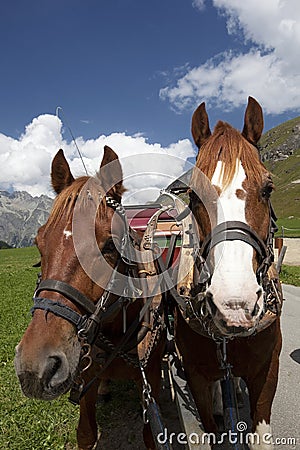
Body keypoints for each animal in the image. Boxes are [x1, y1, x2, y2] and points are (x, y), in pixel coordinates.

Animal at [15, 146, 165, 448]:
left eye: (109, 245)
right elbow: (85, 433)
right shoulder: (84, 375)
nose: (36, 365)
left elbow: (150, 435)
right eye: (38, 242)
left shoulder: (151, 380)